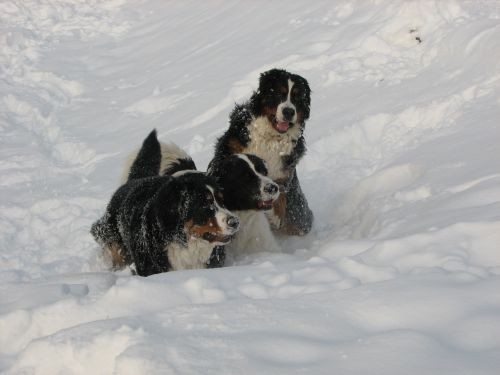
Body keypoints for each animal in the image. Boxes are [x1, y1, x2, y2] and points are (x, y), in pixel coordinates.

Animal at [214, 69, 312, 236]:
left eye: (297, 98)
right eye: (278, 93)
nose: (288, 111)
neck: (271, 137)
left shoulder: (283, 172)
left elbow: (279, 195)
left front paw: (275, 216)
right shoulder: (228, 148)